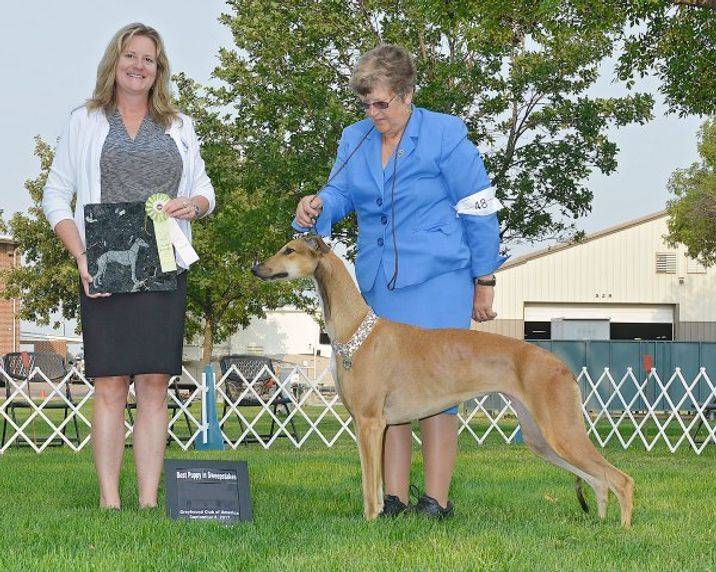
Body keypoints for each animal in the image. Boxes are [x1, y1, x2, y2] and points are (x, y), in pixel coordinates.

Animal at [252, 235, 632, 524]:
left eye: (289, 250)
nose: (256, 268)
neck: (357, 328)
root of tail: (562, 366)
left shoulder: (370, 423)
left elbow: (370, 483)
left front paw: (370, 521)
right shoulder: (371, 425)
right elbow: (374, 484)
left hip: (561, 432)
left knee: (621, 480)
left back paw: (622, 533)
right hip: (540, 438)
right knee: (600, 481)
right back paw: (599, 526)